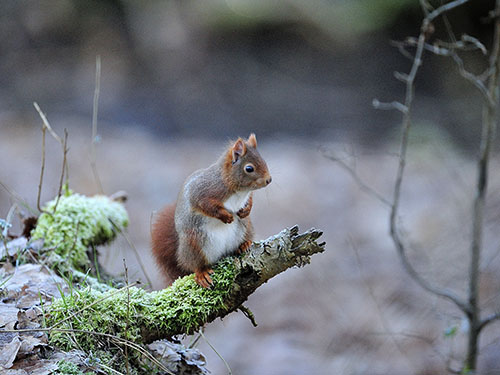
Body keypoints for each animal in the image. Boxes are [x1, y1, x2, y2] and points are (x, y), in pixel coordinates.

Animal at [151, 134, 272, 290]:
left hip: (246, 228)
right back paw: (201, 273)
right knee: (195, 264)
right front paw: (225, 216)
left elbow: (249, 200)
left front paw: (246, 209)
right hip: (195, 243)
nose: (269, 180)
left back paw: (243, 245)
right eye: (249, 168)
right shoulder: (202, 192)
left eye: (264, 160)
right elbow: (206, 206)